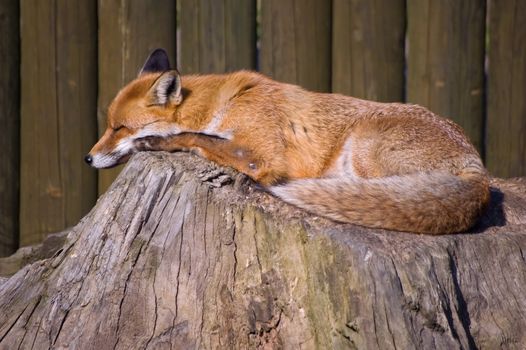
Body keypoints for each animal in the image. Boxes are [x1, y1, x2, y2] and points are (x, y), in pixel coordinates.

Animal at [84, 47, 492, 234]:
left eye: (118, 128)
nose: (88, 158)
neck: (223, 103)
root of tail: (480, 172)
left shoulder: (262, 155)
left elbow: (196, 137)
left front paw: (155, 143)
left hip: (364, 150)